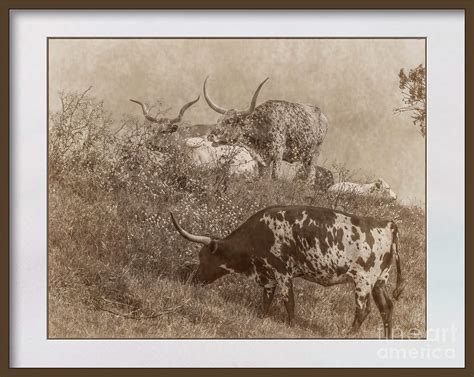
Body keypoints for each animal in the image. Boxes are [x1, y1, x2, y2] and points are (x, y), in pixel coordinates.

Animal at [170, 206, 404, 338]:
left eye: (203, 257)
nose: (193, 280)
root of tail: (387, 224)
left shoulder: (282, 273)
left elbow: (288, 302)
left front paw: (291, 326)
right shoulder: (268, 276)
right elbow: (266, 300)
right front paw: (261, 317)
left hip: (363, 282)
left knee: (363, 311)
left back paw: (349, 335)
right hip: (379, 282)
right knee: (387, 308)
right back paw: (387, 337)